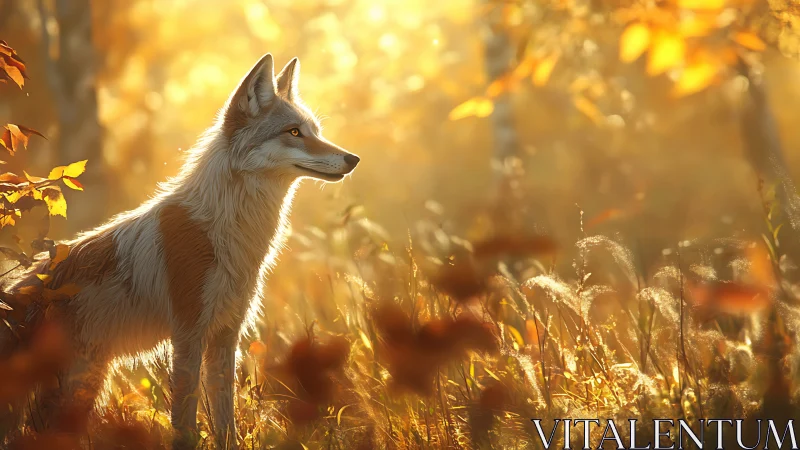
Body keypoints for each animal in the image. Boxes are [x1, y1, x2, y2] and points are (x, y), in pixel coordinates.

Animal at [0, 53, 359, 448]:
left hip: (80, 389)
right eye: (294, 132)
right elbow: (185, 422)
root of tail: (12, 296)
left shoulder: (226, 336)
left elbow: (225, 422)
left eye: (315, 131)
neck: (227, 232)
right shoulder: (187, 335)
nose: (353, 158)